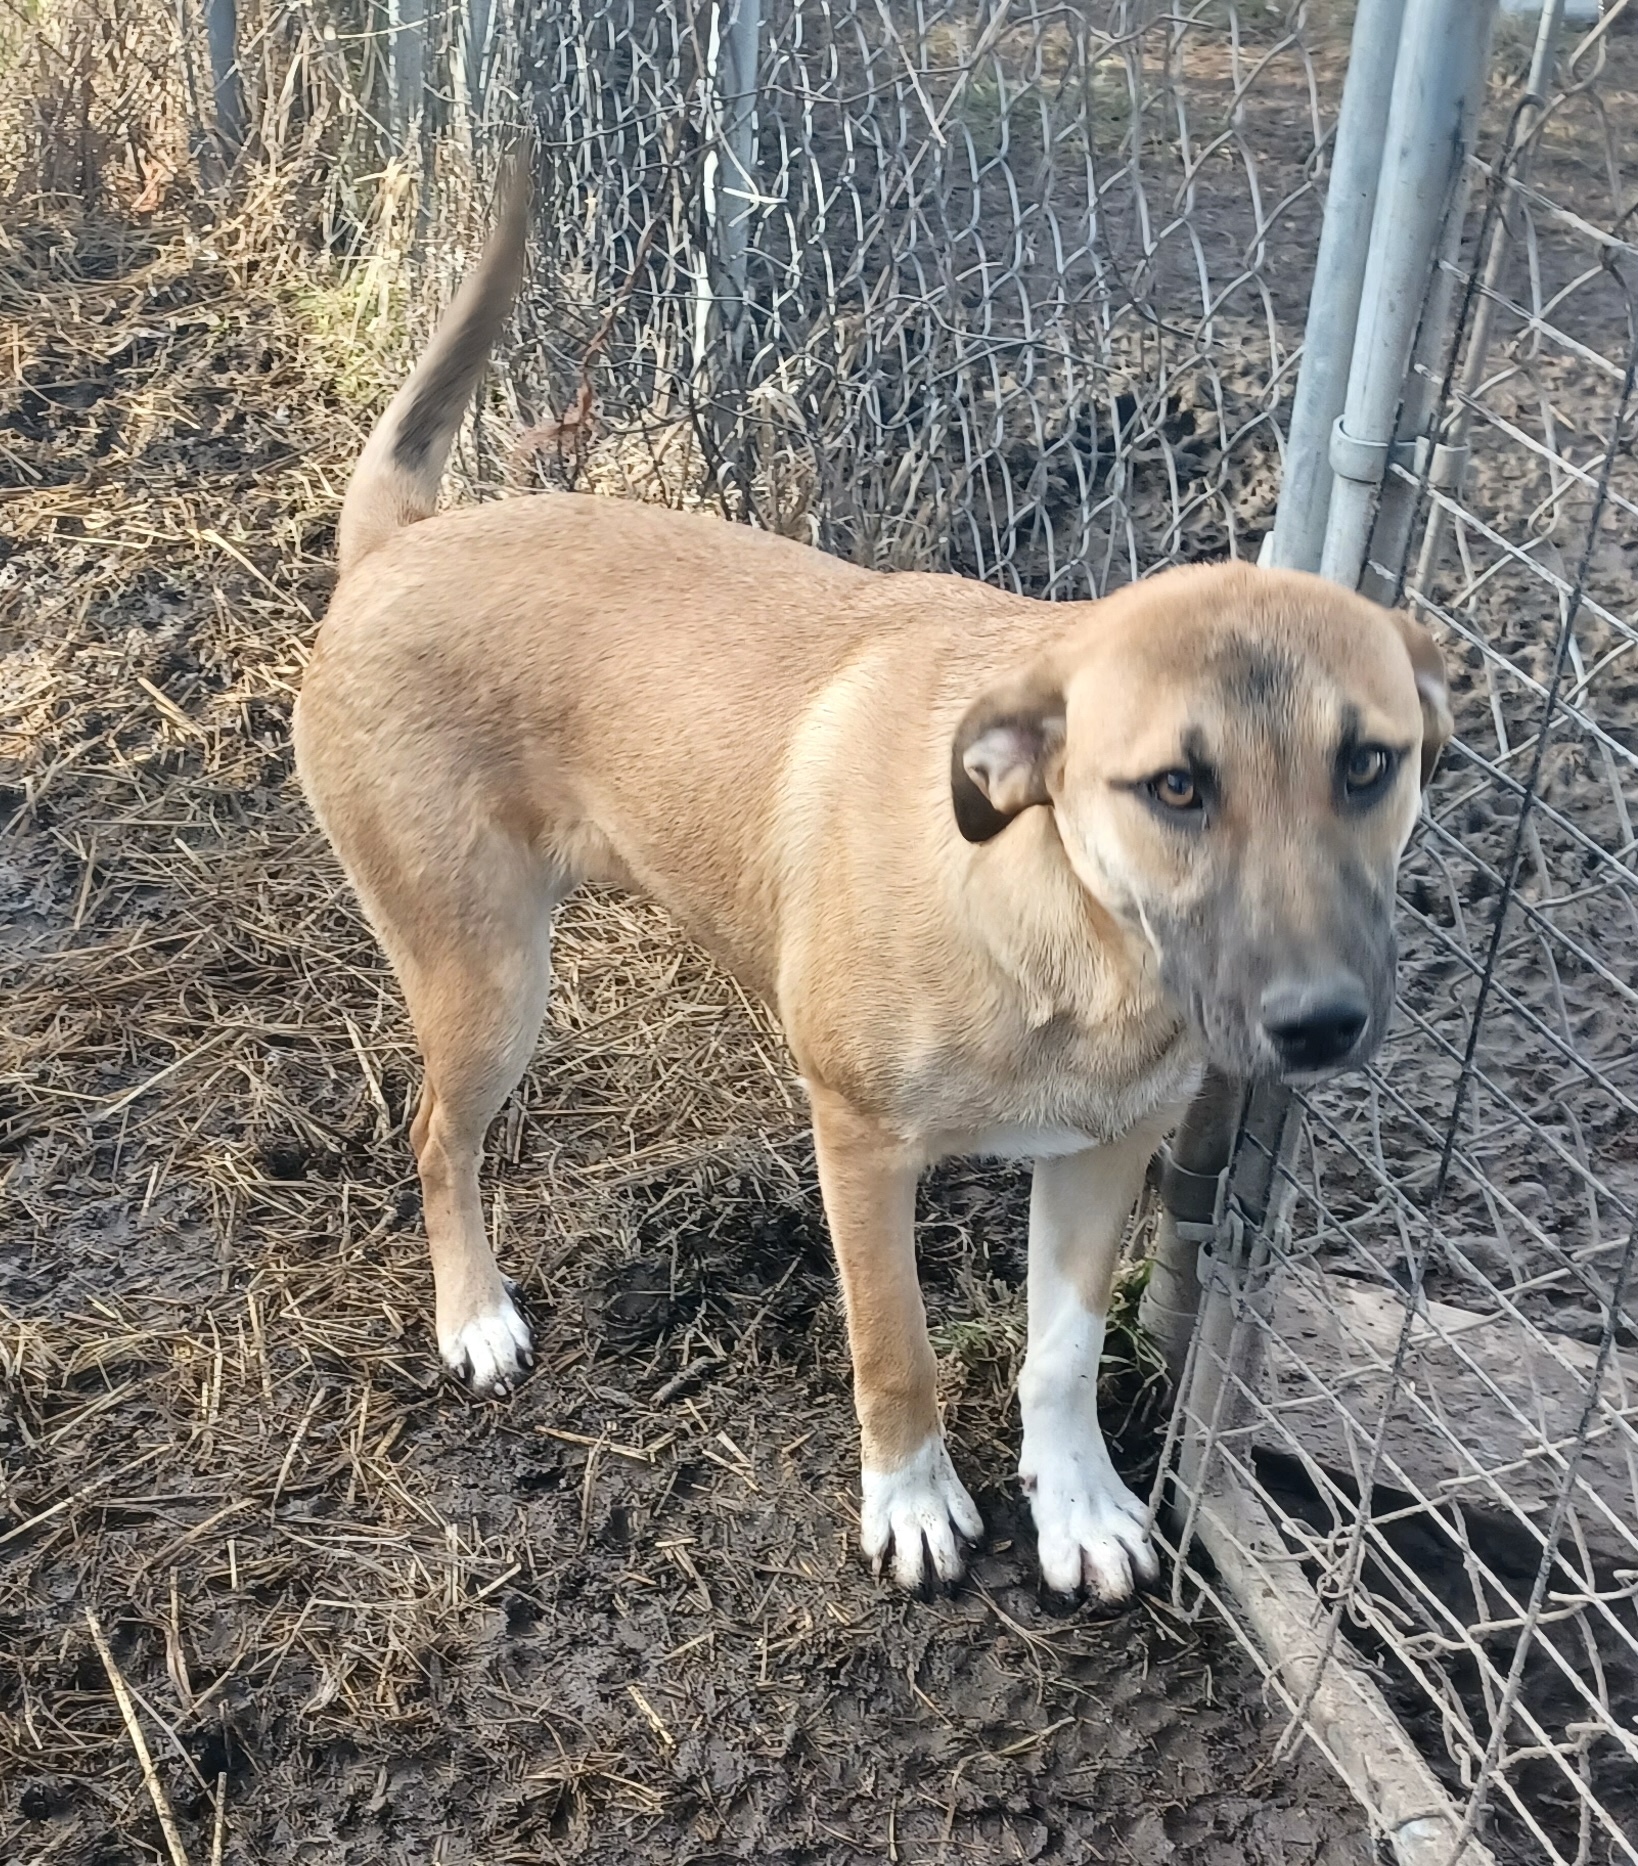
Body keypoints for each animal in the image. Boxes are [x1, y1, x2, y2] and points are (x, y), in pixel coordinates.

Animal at [291, 175, 1447, 1597]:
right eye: (1176, 787)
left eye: (1368, 763)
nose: (1322, 1024)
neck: (1066, 933)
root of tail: (396, 547)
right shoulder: (859, 1143)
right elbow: (894, 1348)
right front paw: (912, 1504)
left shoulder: (1105, 1149)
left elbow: (1061, 1359)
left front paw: (1078, 1505)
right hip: (486, 980)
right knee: (434, 1136)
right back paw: (476, 1316)